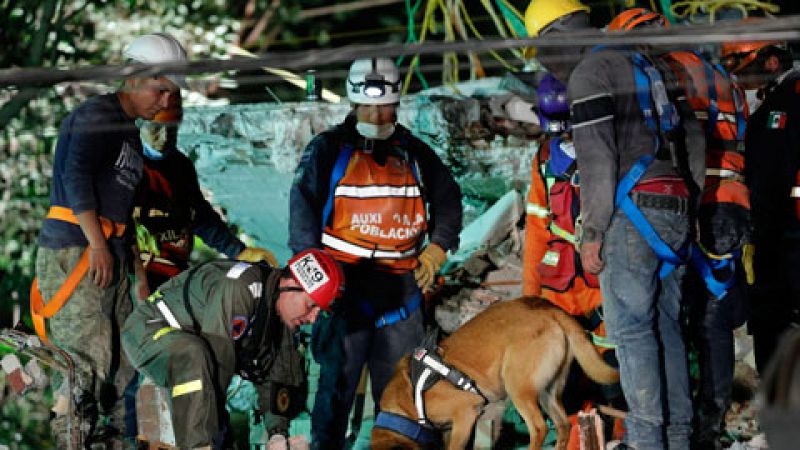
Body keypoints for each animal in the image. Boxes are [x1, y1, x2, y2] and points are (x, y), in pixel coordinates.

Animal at [368, 298, 620, 448]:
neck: (404, 407)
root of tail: (548, 308)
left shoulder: (465, 411)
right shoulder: (452, 428)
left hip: (517, 387)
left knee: (539, 428)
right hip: (547, 392)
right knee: (563, 425)